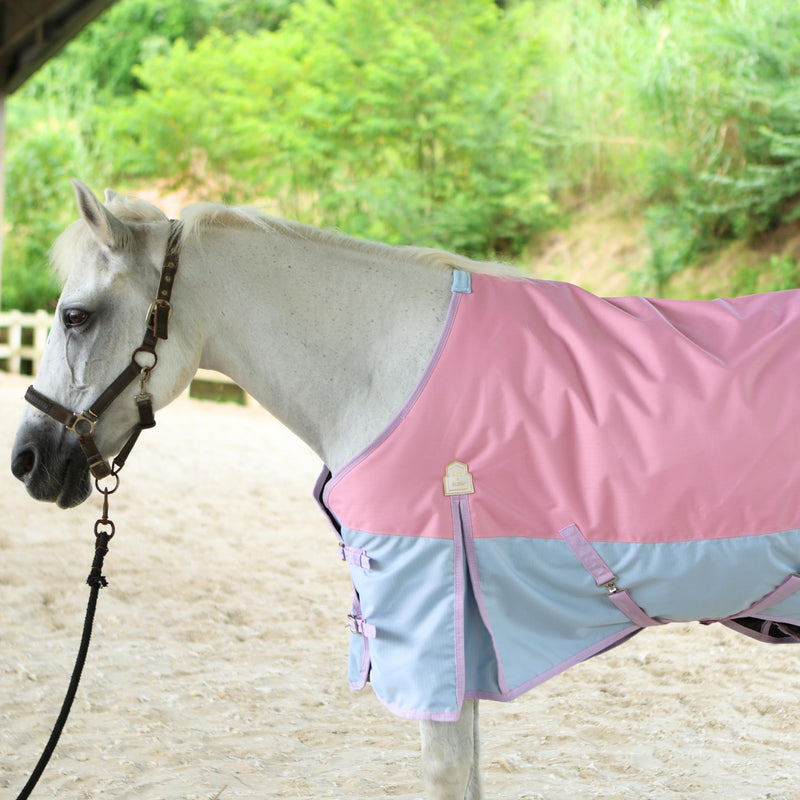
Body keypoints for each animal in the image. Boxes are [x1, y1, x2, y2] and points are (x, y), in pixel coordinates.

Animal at [12, 180, 800, 799]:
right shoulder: (465, 647)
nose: (25, 459)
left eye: (76, 315)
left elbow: (446, 778)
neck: (386, 366)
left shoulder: (432, 629)